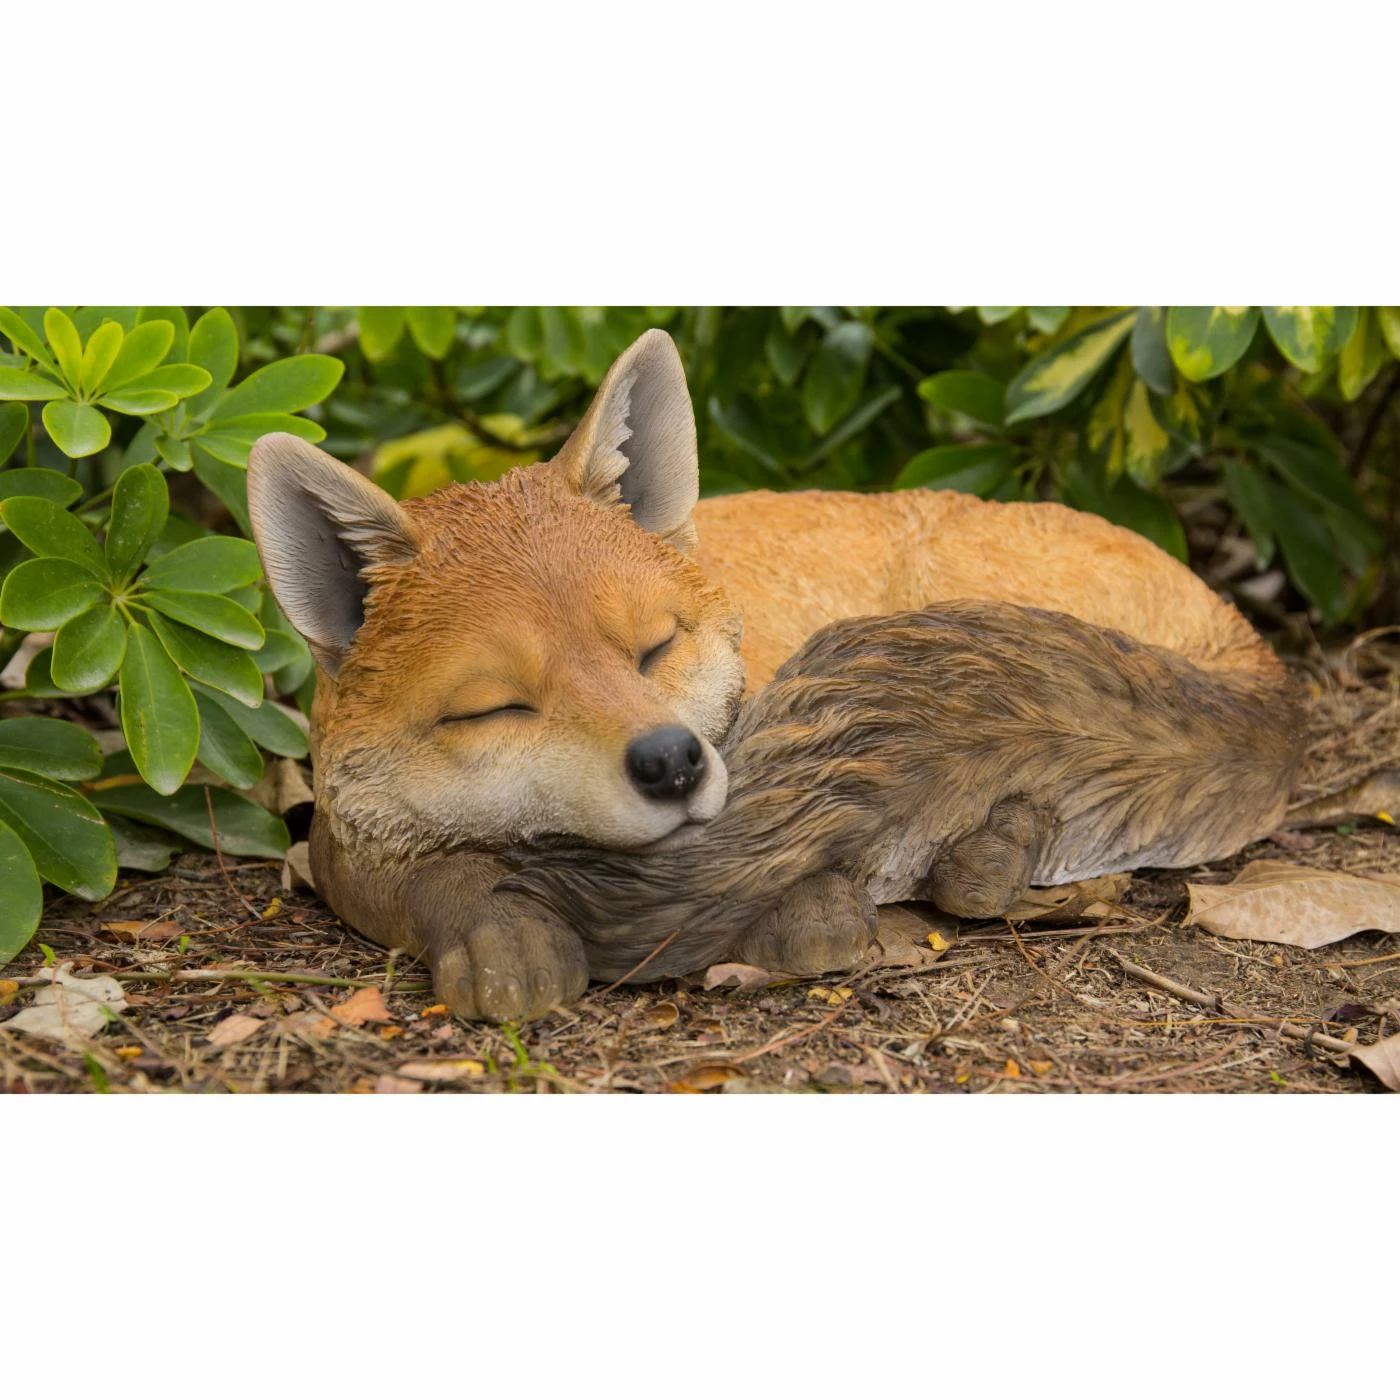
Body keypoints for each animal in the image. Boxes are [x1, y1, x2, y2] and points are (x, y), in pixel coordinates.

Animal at [247, 327, 1296, 1021]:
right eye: (494, 707)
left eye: (654, 649)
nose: (671, 762)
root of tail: (1241, 631)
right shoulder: (341, 845)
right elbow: (433, 884)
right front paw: (497, 934)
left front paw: (809, 912)